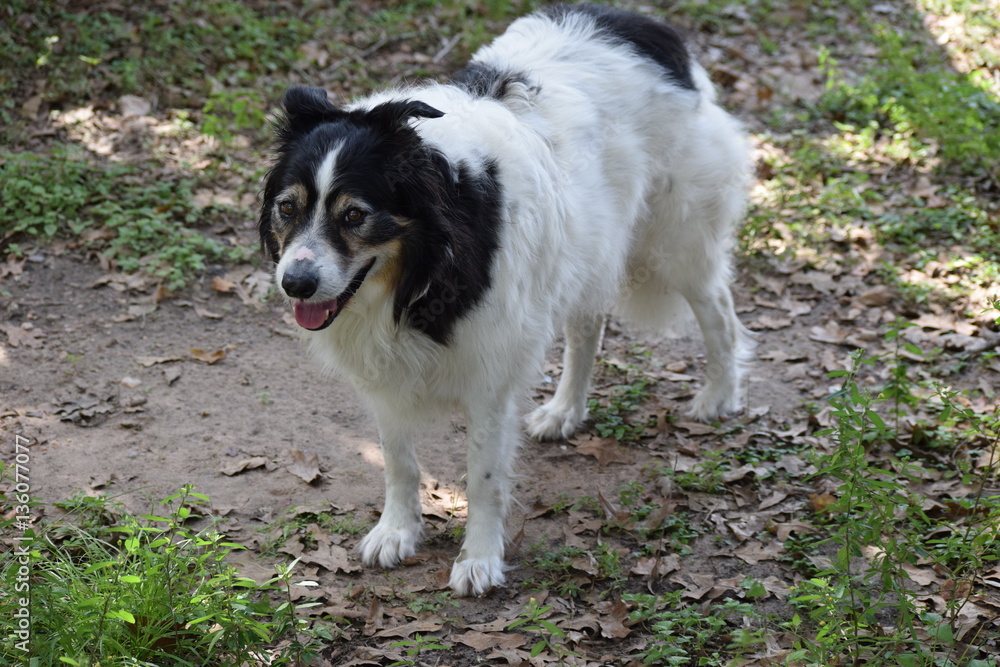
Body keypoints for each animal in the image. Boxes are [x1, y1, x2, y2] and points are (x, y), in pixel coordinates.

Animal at [258, 0, 752, 596]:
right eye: (288, 208)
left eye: (354, 215)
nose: (295, 283)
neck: (425, 268)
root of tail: (645, 25)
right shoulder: (387, 375)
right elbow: (398, 460)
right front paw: (398, 531)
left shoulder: (490, 373)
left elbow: (483, 476)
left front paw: (479, 559)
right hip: (586, 247)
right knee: (587, 326)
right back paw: (565, 411)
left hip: (677, 239)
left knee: (719, 312)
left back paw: (719, 395)